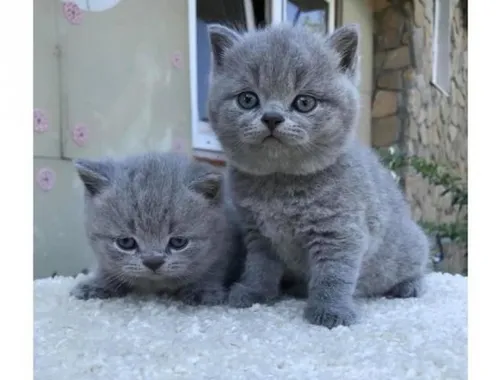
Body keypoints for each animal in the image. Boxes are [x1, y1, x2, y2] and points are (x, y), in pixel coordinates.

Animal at [70, 151, 244, 306]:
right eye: (125, 242)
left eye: (178, 242)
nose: (153, 261)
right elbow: (108, 266)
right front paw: (98, 283)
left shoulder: (225, 244)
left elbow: (212, 268)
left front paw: (202, 289)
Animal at [207, 22, 430, 328]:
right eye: (247, 99)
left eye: (304, 103)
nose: (272, 118)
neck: (279, 183)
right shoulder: (258, 232)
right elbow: (260, 266)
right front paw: (254, 293)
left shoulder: (340, 230)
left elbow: (334, 273)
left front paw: (330, 311)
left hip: (411, 244)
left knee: (417, 266)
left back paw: (409, 286)